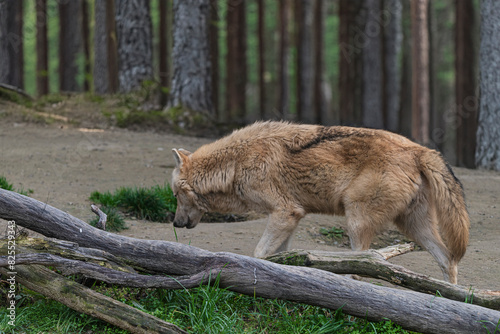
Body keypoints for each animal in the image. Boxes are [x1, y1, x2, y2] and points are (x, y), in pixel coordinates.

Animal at [171, 121, 468, 284]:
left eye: (174, 195)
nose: (174, 222)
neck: (235, 163)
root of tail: (420, 150)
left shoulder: (285, 213)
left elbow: (258, 254)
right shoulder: (291, 218)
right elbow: (278, 256)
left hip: (356, 220)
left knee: (364, 264)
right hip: (413, 227)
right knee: (448, 260)